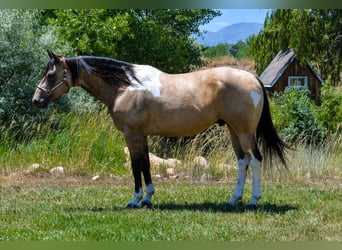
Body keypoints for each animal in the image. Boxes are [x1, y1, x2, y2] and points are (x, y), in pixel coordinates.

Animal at [32, 50, 288, 209]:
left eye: (51, 74)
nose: (36, 100)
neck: (126, 86)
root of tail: (252, 79)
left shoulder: (132, 134)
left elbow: (136, 166)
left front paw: (135, 200)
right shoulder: (142, 136)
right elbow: (146, 164)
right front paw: (148, 198)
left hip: (245, 132)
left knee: (255, 159)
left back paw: (253, 200)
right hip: (234, 131)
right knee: (243, 161)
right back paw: (233, 199)